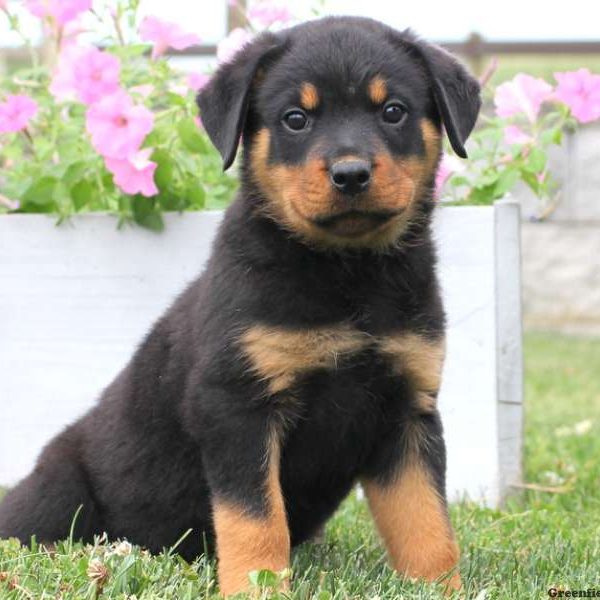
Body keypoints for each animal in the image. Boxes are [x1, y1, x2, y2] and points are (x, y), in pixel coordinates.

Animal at [0, 14, 478, 596]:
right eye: (295, 118)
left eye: (393, 111)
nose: (350, 174)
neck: (346, 272)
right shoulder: (237, 407)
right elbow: (257, 519)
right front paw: (258, 586)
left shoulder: (407, 409)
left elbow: (426, 522)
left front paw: (442, 586)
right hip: (59, 490)